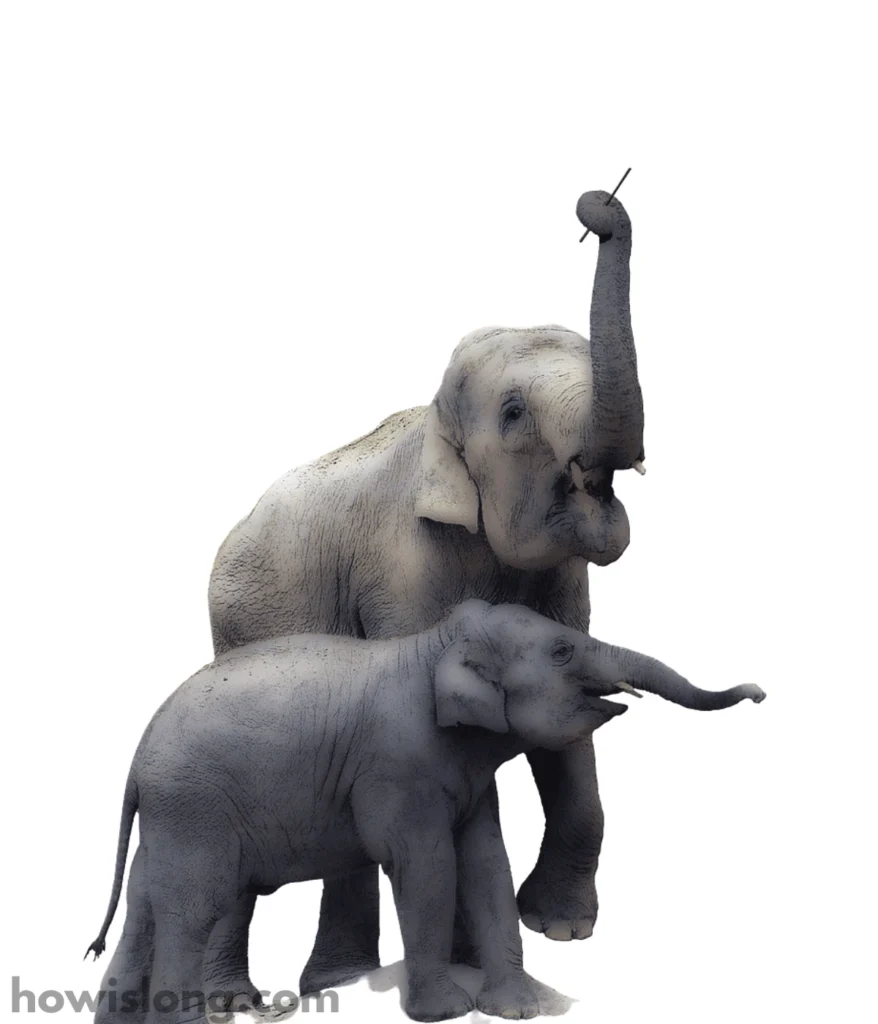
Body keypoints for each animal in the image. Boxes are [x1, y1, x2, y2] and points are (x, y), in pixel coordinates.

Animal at [87, 600, 765, 1024]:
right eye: (562, 652)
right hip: (194, 806)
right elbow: (427, 866)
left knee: (145, 911)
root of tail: (137, 759)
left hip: (170, 820)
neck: (431, 643)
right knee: (193, 909)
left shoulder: (465, 767)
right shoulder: (399, 767)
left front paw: (517, 1010)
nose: (760, 692)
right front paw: (443, 1013)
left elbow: (487, 862)